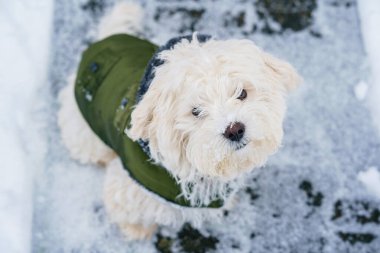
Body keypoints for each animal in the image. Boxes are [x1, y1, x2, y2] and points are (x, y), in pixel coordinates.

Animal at [57, 1, 300, 240]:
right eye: (195, 111)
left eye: (242, 93)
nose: (234, 130)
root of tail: (105, 41)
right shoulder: (129, 187)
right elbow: (126, 211)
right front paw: (136, 230)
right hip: (84, 134)